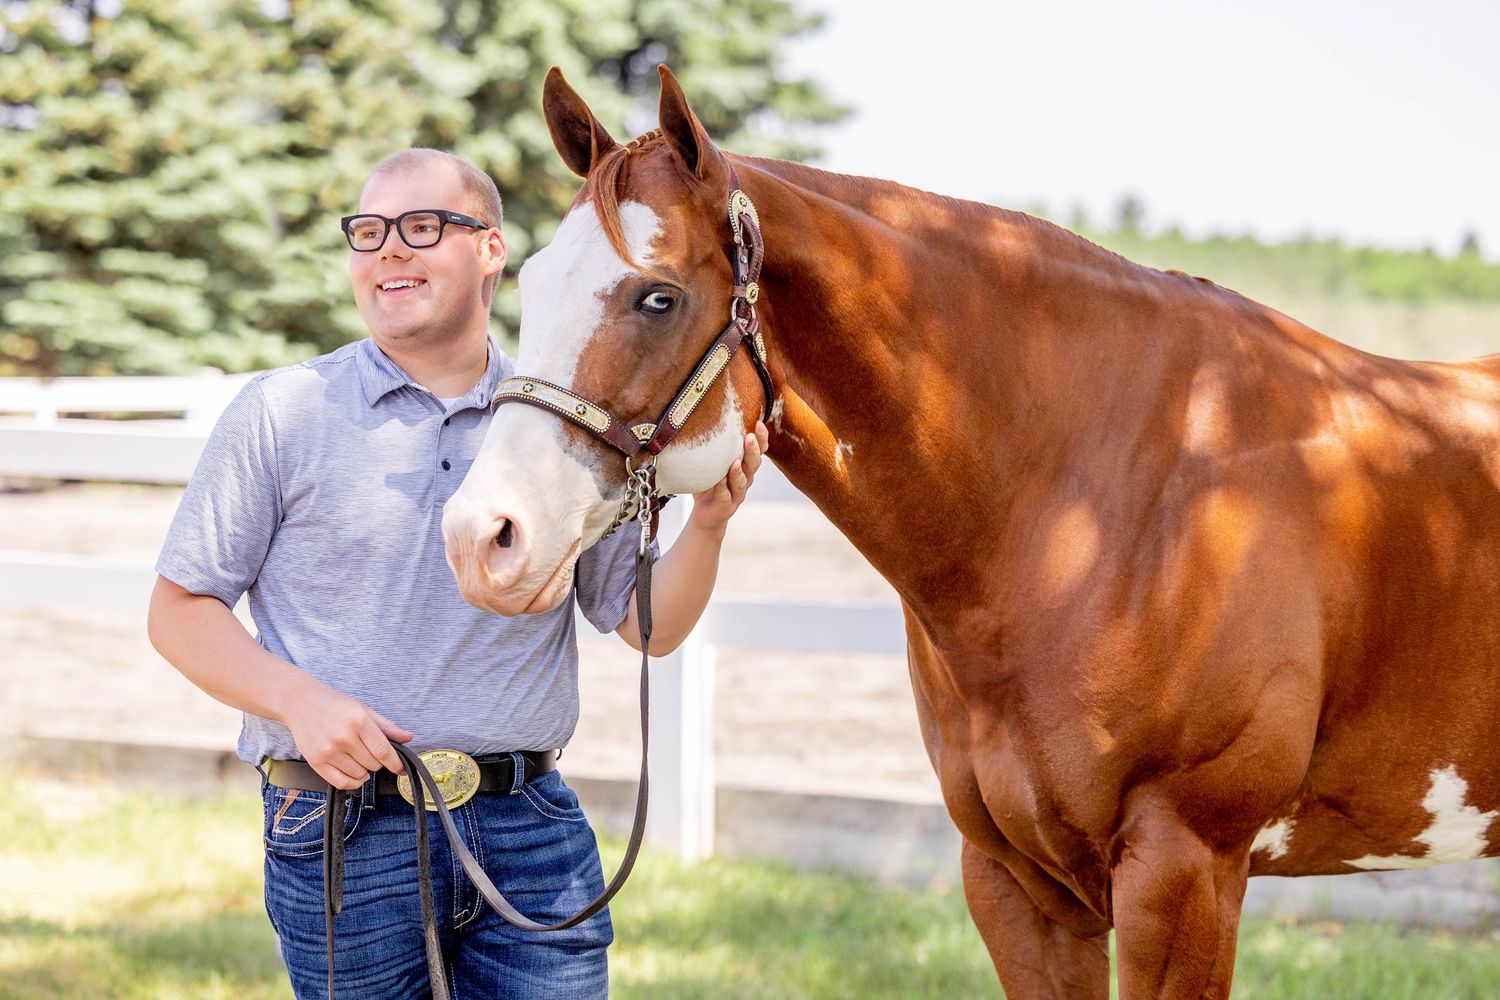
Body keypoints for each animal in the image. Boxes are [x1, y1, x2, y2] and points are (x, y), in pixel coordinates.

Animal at [441, 66, 1500, 998]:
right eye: (531, 279)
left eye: (657, 295)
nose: (484, 535)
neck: (1101, 504)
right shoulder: (1015, 883)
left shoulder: (1187, 872)